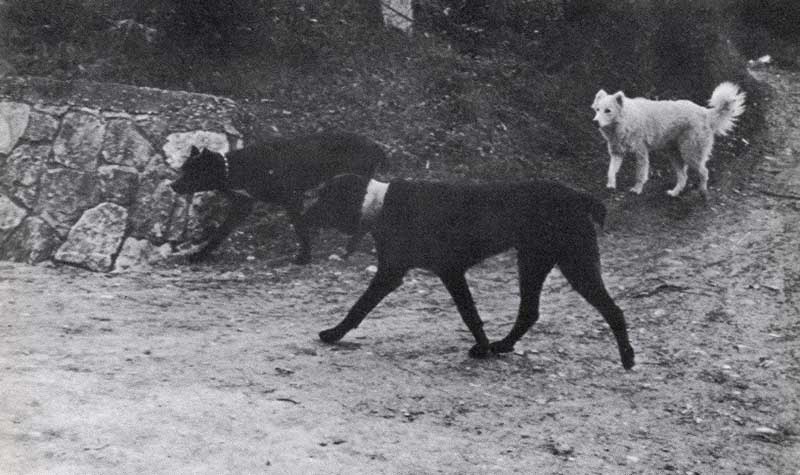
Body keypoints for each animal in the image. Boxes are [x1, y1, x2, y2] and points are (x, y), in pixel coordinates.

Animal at [169, 132, 384, 264]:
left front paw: (305, 256)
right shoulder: (243, 206)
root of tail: (376, 146)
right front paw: (201, 255)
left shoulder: (292, 199)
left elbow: (300, 228)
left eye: (192, 173)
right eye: (183, 169)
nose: (172, 185)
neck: (236, 167)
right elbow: (221, 232)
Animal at [302, 173, 636, 370]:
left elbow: (468, 314)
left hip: (574, 263)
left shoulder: (442, 272)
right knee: (530, 311)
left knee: (613, 310)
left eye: (323, 196)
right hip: (535, 262)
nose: (303, 216)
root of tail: (580, 197)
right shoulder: (397, 272)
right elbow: (360, 308)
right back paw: (504, 345)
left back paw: (628, 357)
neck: (380, 204)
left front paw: (333, 333)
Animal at [592, 82, 748, 198]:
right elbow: (610, 171)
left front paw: (637, 189)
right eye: (597, 110)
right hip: (675, 155)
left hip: (690, 154)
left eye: (608, 110)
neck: (626, 119)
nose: (595, 122)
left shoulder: (641, 153)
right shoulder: (617, 153)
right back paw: (674, 193)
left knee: (704, 172)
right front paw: (611, 185)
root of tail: (705, 112)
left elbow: (640, 175)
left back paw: (702, 192)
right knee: (683, 177)